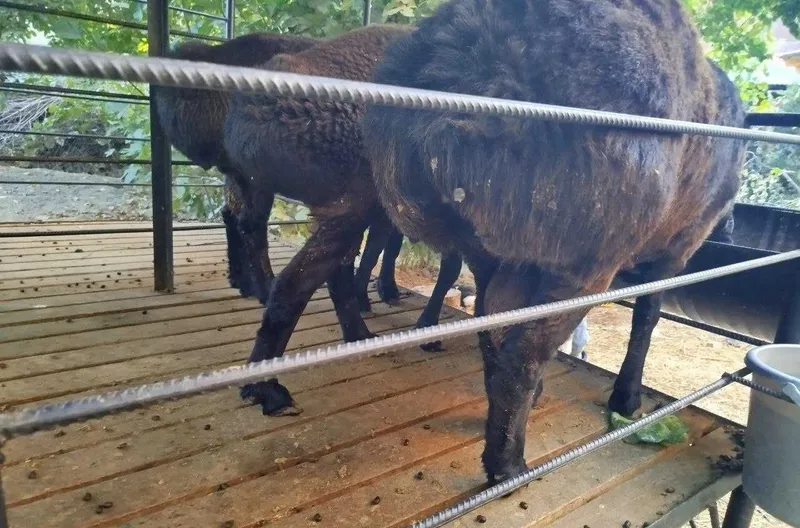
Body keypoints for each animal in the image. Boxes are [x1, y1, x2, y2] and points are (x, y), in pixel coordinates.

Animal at [152, 33, 317, 303]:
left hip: (235, 170)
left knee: (232, 215)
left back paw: (242, 282)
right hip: (254, 172)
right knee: (251, 225)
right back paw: (265, 288)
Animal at [362, 0, 742, 484]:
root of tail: (465, 58)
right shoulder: (677, 250)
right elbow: (647, 318)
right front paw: (627, 398)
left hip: (493, 250)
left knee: (493, 332)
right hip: (583, 255)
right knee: (521, 357)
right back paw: (508, 465)